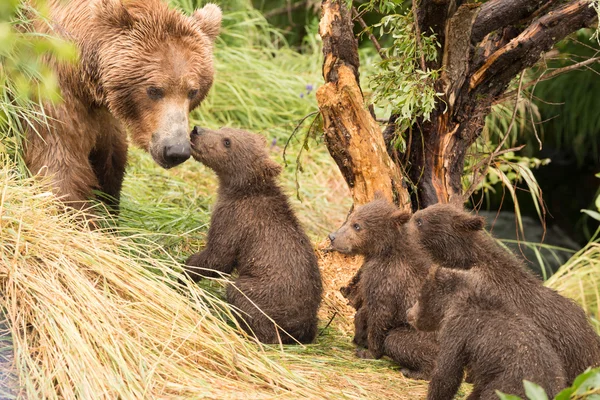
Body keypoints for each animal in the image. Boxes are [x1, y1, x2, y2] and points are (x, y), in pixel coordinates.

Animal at [25, 0, 221, 212]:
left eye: (192, 91)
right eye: (154, 90)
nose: (176, 150)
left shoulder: (105, 118)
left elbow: (111, 161)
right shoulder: (53, 92)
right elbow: (61, 163)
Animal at [183, 126, 324, 344]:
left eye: (227, 141)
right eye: (223, 128)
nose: (197, 130)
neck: (239, 189)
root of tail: (302, 327)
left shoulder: (235, 220)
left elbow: (218, 258)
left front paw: (183, 272)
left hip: (267, 292)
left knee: (240, 295)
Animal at [330, 198, 438, 380]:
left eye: (357, 225)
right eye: (350, 217)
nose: (332, 237)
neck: (382, 252)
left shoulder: (387, 282)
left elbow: (380, 317)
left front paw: (368, 352)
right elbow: (364, 310)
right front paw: (359, 336)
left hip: (423, 336)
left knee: (397, 341)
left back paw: (413, 371)